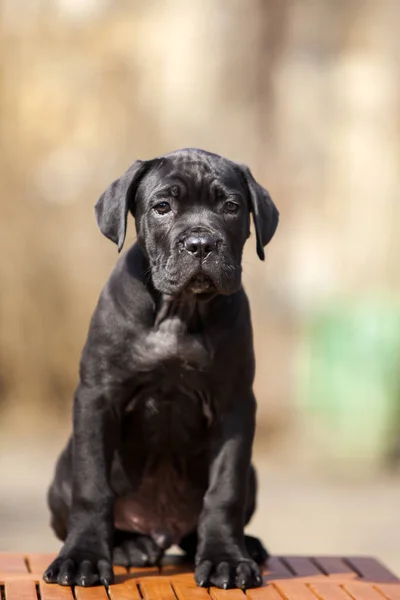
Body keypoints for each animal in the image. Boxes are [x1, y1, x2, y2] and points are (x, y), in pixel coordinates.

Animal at [44, 148, 278, 588]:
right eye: (162, 207)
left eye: (231, 207)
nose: (200, 244)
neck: (179, 311)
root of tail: (160, 529)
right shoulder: (97, 397)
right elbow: (92, 487)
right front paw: (83, 557)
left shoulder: (235, 406)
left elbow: (225, 490)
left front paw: (226, 558)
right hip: (63, 467)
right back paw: (128, 545)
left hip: (253, 473)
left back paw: (243, 545)